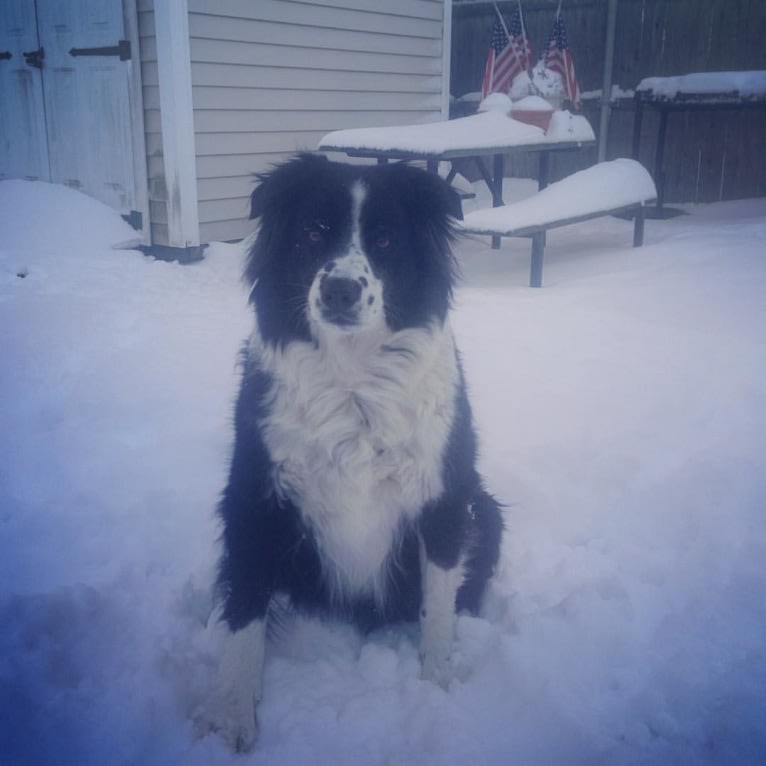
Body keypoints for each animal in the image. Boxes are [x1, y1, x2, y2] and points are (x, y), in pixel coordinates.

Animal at [204, 154, 504, 752]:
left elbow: (438, 604)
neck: (353, 384)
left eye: (385, 239)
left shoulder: (444, 499)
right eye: (313, 232)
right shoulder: (252, 498)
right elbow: (245, 606)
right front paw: (234, 711)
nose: (340, 290)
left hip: (485, 510)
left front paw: (438, 679)